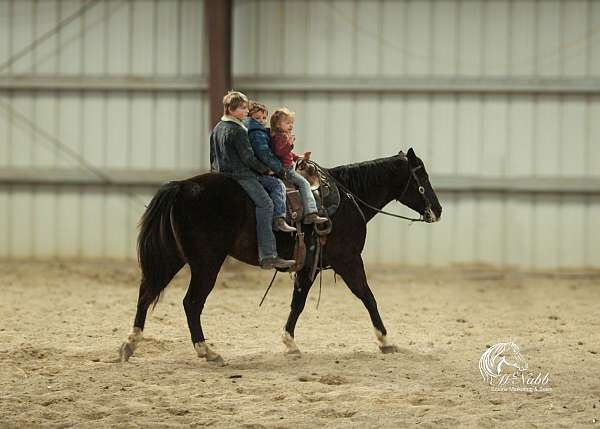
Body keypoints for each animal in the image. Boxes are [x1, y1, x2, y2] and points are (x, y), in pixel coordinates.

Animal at [119, 148, 442, 364]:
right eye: (422, 175)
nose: (438, 210)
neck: (349, 198)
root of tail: (183, 186)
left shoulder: (309, 266)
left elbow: (297, 304)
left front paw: (290, 343)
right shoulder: (349, 260)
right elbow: (368, 296)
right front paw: (385, 340)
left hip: (174, 258)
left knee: (146, 292)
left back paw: (131, 344)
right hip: (206, 263)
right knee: (191, 303)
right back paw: (206, 350)